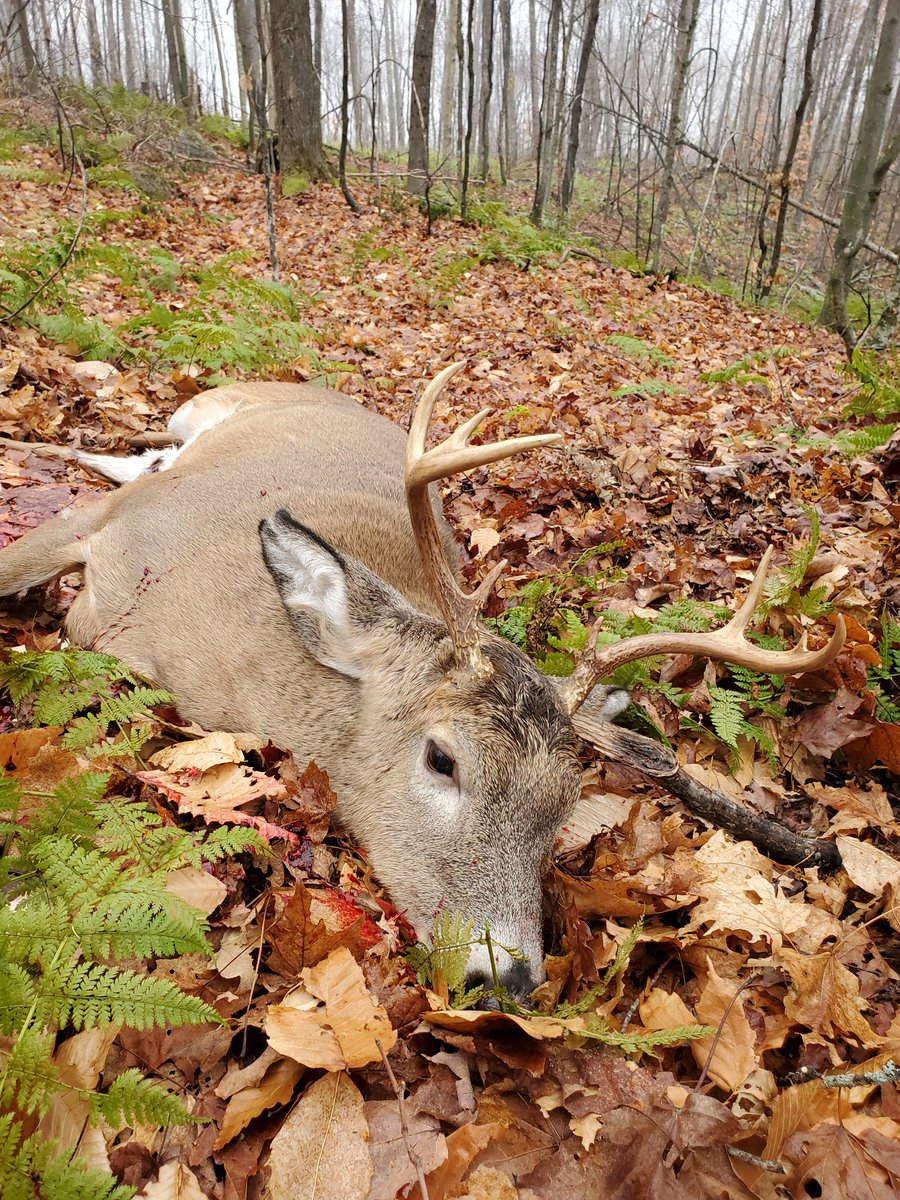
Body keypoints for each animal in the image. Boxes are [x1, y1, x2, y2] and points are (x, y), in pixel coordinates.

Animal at [0, 363, 846, 1002]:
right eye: (443, 759)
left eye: (562, 807)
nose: (505, 978)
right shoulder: (109, 522)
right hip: (191, 415)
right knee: (132, 451)